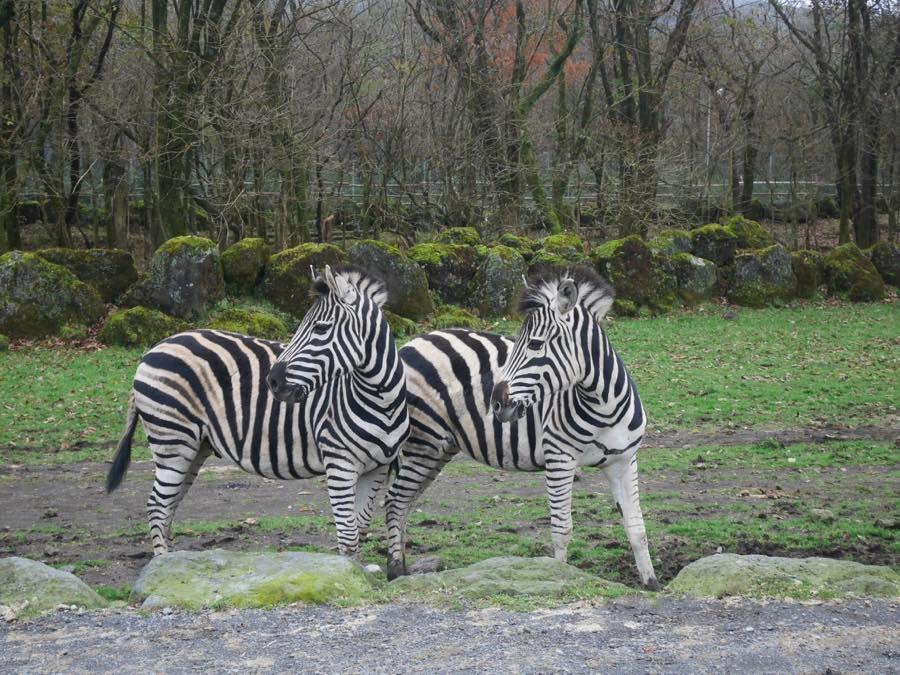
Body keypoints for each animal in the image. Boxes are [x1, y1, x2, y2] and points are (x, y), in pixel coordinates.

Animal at [106, 265, 409, 558]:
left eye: (321, 329)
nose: (272, 381)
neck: (382, 401)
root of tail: (154, 348)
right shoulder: (339, 463)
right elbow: (348, 537)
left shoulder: (377, 467)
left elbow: (361, 527)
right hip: (172, 439)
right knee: (157, 507)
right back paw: (161, 564)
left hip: (194, 446)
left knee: (170, 506)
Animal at [382, 266, 659, 588]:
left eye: (536, 345)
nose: (496, 404)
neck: (603, 407)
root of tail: (412, 343)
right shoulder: (559, 458)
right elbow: (562, 529)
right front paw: (559, 576)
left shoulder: (624, 460)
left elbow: (637, 528)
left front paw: (651, 584)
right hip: (423, 442)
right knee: (395, 501)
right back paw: (395, 570)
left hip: (439, 447)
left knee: (406, 502)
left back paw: (405, 568)